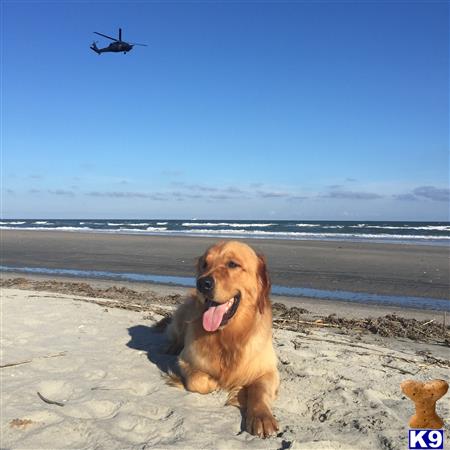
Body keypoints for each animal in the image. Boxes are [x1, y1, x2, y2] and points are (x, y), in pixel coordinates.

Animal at [165, 241, 278, 438]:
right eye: (204, 264)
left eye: (232, 264)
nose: (202, 284)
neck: (228, 336)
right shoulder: (185, 360)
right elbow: (199, 381)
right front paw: (215, 382)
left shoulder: (269, 370)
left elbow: (260, 391)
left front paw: (262, 416)